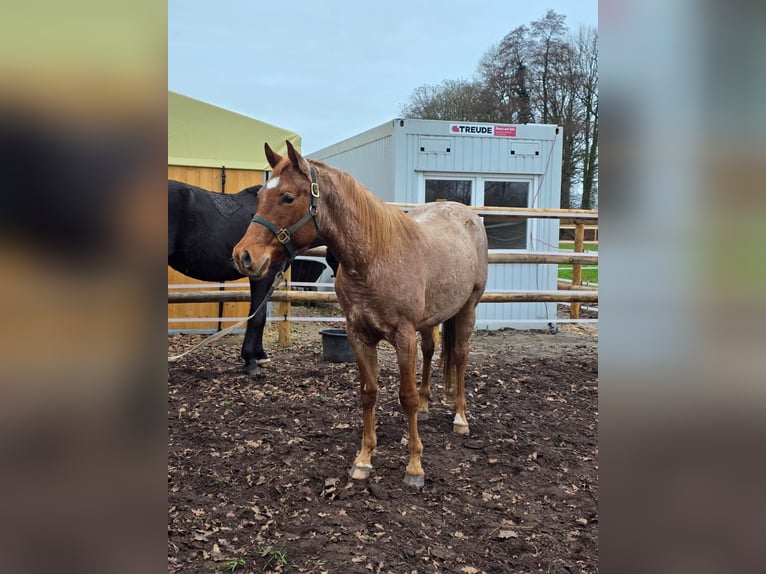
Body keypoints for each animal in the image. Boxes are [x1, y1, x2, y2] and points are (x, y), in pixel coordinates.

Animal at [232, 141, 488, 487]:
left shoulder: (403, 336)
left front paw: (414, 467)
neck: (374, 256)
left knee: (460, 357)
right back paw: (425, 407)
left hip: (467, 309)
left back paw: (460, 418)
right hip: (429, 321)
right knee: (430, 351)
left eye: (287, 197)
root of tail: (467, 215)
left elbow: (405, 396)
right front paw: (364, 460)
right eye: (260, 196)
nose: (244, 256)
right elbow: (368, 393)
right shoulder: (359, 335)